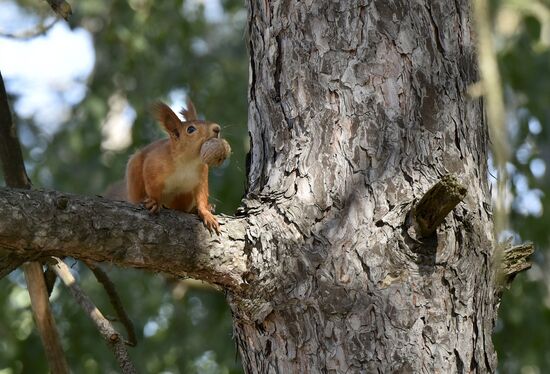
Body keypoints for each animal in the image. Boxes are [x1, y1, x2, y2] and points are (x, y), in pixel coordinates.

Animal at [127, 99, 222, 234]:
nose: (217, 128)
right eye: (190, 129)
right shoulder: (153, 163)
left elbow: (202, 195)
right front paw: (154, 201)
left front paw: (206, 213)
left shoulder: (202, 175)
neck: (188, 161)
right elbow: (151, 183)